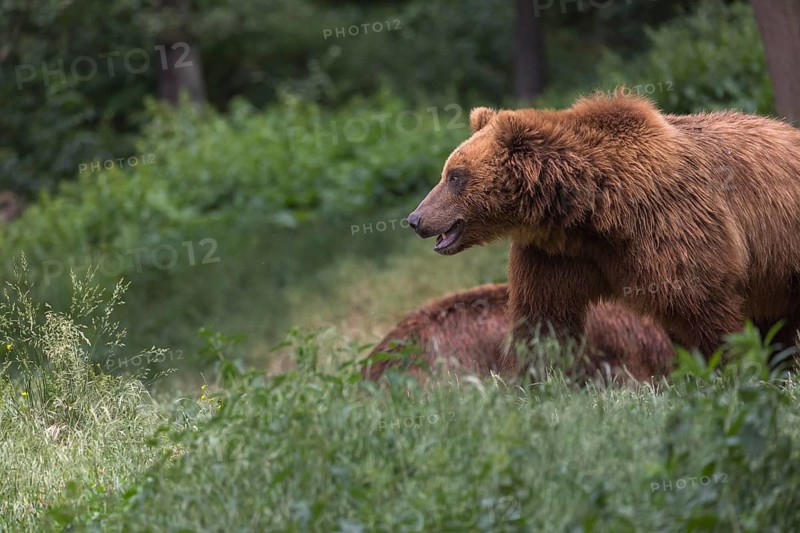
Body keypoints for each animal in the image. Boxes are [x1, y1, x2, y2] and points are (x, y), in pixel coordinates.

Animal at [405, 92, 800, 363]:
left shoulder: (673, 228)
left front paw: (727, 366)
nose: (415, 219)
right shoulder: (556, 254)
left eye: (455, 176)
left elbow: (703, 309)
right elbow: (544, 318)